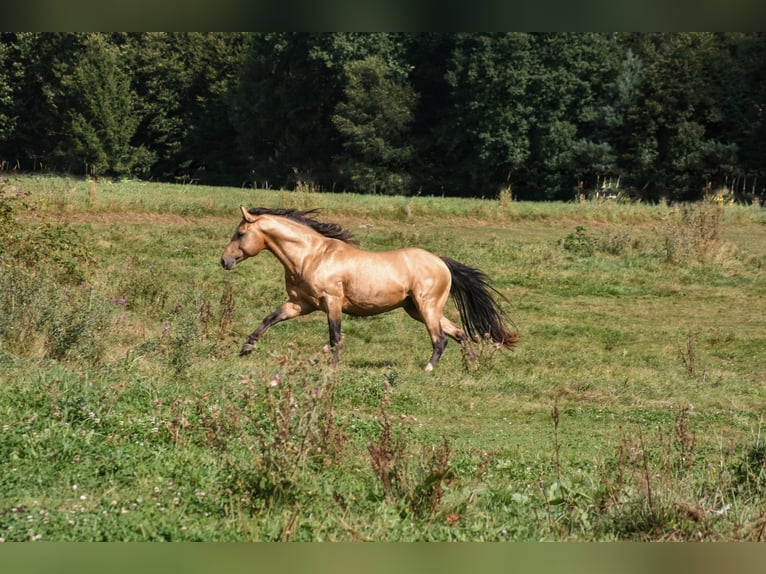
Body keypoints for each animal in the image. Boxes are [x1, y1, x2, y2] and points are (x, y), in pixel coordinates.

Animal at [222, 207, 520, 374]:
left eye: (240, 233)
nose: (224, 261)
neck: (311, 256)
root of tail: (441, 262)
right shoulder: (300, 304)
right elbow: (270, 318)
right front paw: (246, 347)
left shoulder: (332, 301)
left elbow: (335, 337)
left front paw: (333, 367)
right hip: (417, 310)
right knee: (459, 332)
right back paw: (472, 366)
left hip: (427, 307)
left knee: (440, 339)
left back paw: (429, 368)